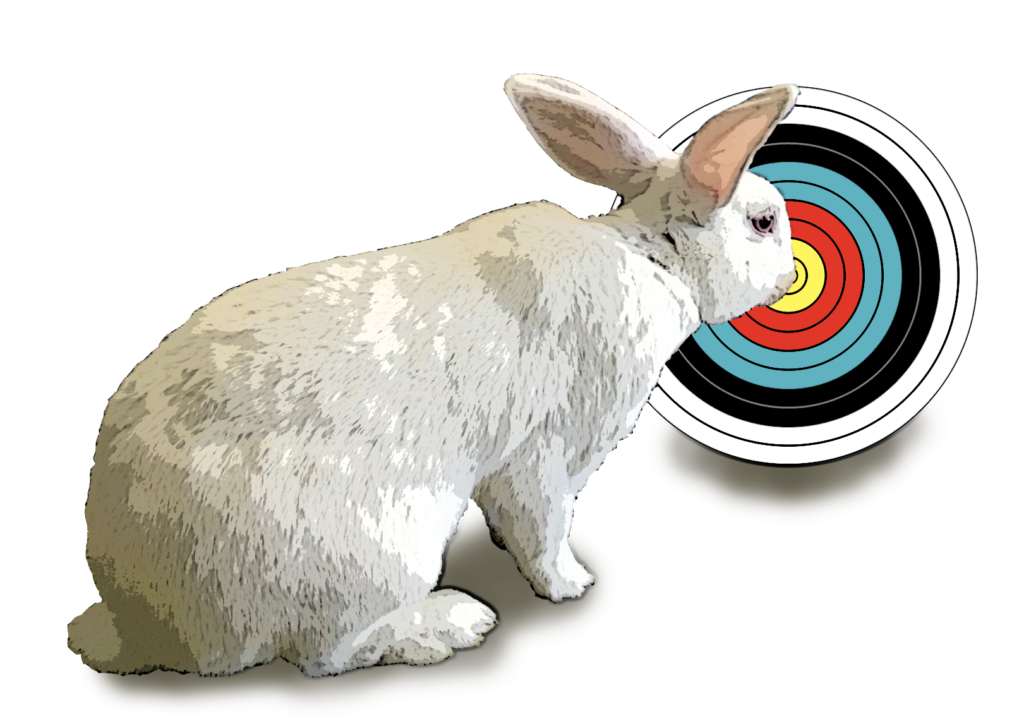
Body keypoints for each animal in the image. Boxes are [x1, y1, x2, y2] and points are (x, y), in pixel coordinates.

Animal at [67, 74, 798, 678]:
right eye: (764, 222)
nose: (792, 276)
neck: (652, 256)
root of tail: (142, 627)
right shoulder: (547, 454)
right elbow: (543, 526)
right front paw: (571, 585)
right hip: (379, 555)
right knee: (328, 655)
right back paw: (452, 623)